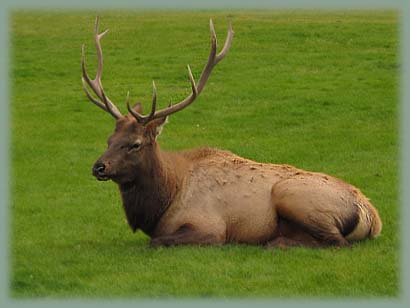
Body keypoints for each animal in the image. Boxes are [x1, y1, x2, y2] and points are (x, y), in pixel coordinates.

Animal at [81, 16, 382, 248]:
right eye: (109, 139)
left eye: (135, 144)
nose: (98, 167)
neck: (163, 202)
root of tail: (372, 216)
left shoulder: (211, 227)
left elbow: (156, 241)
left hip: (290, 193)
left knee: (336, 242)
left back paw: (276, 242)